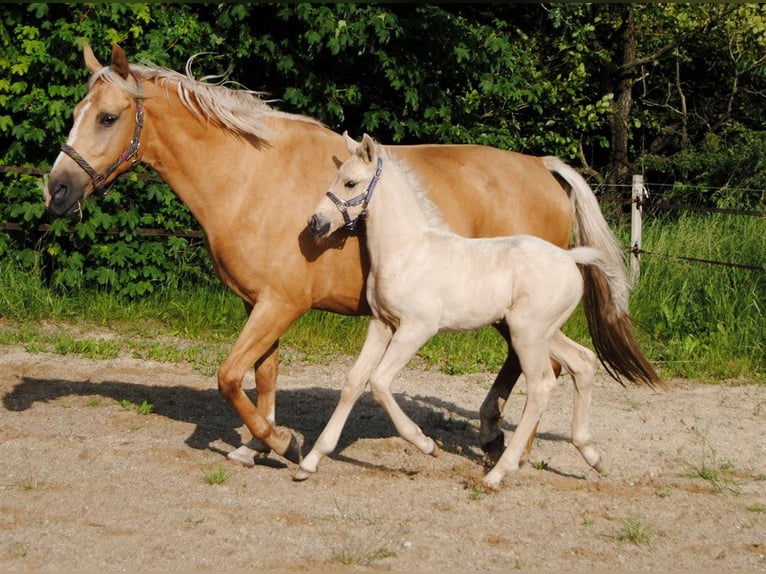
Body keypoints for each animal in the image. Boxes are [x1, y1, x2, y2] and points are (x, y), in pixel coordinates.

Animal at [302, 135, 632, 490]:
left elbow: (378, 381)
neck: (407, 250)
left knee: (541, 384)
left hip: (527, 334)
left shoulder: (416, 329)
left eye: (350, 182)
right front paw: (309, 462)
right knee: (583, 362)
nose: (316, 222)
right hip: (543, 332)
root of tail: (571, 258)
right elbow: (354, 381)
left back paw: (498, 472)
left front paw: (426, 445)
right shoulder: (382, 325)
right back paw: (592, 454)